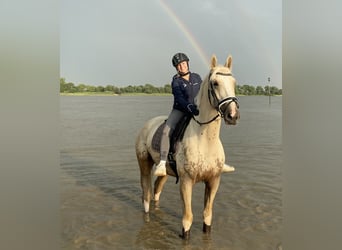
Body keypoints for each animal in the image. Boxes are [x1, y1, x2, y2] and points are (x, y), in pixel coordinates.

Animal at [135, 54, 239, 238]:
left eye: (234, 82)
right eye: (215, 83)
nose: (232, 115)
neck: (205, 140)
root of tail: (147, 125)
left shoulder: (213, 181)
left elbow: (207, 215)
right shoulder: (186, 181)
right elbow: (187, 219)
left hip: (165, 172)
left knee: (156, 190)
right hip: (144, 164)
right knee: (146, 194)